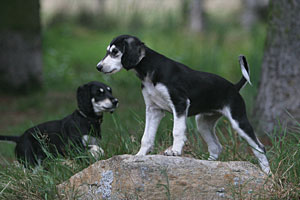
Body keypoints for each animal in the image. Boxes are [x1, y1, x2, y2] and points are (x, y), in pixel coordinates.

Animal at [97, 35, 270, 174]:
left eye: (115, 52)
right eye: (107, 51)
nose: (98, 67)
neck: (150, 70)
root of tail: (233, 87)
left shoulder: (179, 104)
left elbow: (177, 131)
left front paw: (175, 151)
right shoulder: (153, 110)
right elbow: (146, 137)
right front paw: (139, 156)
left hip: (238, 121)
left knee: (259, 147)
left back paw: (267, 174)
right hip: (203, 123)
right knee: (216, 147)